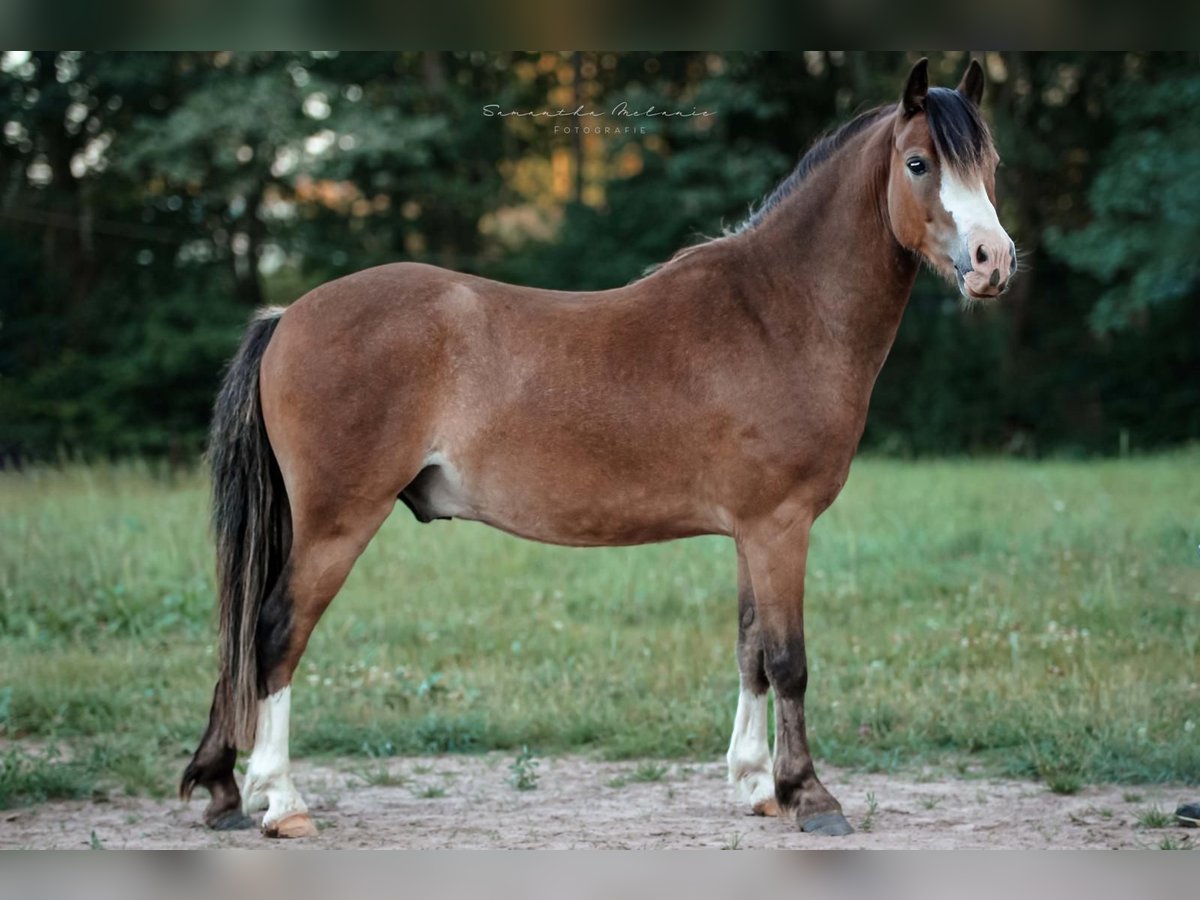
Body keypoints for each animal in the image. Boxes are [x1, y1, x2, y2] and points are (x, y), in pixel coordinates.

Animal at [182, 60, 1017, 844]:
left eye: (991, 164)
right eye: (918, 163)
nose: (992, 261)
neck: (780, 314)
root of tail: (289, 315)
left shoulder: (753, 531)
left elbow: (749, 649)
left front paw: (755, 786)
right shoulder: (781, 527)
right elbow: (789, 662)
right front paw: (809, 796)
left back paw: (226, 790)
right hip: (336, 524)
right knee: (275, 632)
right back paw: (281, 801)